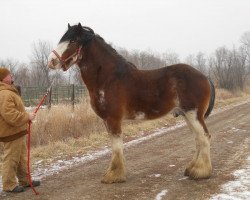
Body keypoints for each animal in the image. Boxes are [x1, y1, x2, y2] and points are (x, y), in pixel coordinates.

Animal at [47, 22, 216, 184]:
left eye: (73, 40)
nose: (51, 61)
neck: (109, 78)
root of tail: (204, 76)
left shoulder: (113, 119)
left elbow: (117, 146)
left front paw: (114, 176)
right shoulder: (107, 120)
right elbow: (114, 145)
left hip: (193, 114)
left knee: (204, 137)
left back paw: (200, 172)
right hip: (187, 115)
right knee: (198, 138)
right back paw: (191, 169)